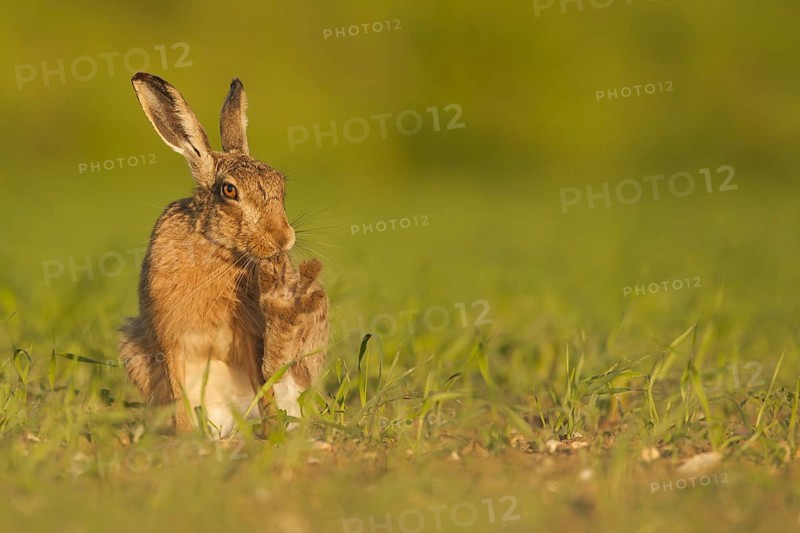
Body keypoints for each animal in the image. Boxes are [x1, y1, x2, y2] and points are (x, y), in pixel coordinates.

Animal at [118, 72, 328, 438]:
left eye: (280, 185)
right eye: (229, 191)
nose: (283, 239)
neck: (215, 248)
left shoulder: (249, 336)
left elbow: (265, 383)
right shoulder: (169, 341)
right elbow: (178, 393)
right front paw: (186, 436)